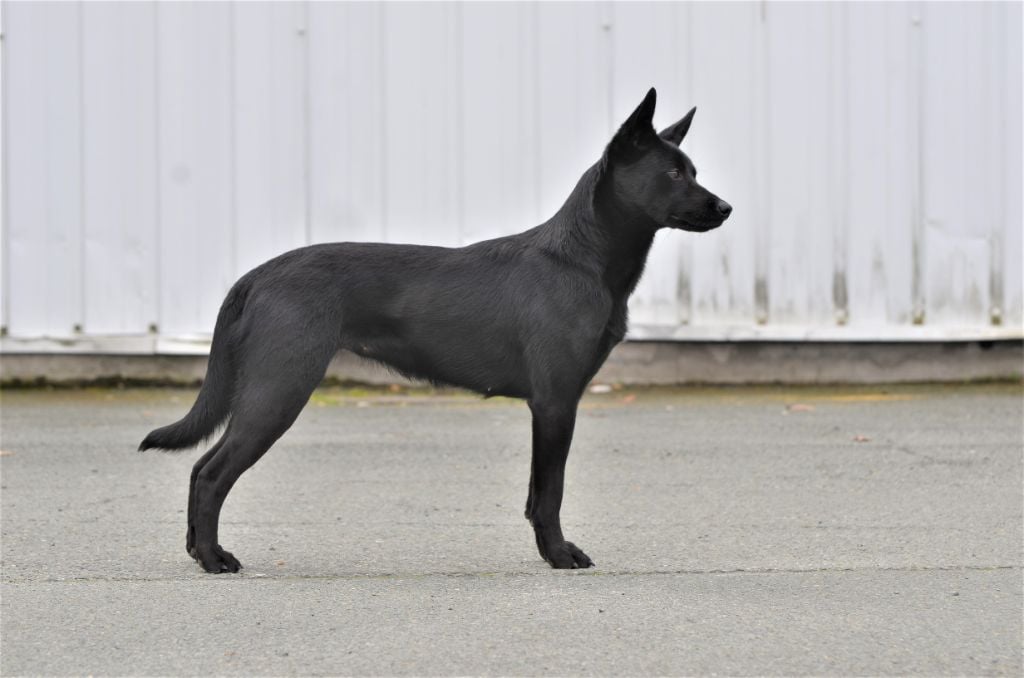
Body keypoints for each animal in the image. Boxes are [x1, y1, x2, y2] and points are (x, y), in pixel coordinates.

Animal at [140, 89, 733, 573]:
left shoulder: (549, 406)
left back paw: (198, 552)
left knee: (199, 468)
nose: (725, 207)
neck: (581, 259)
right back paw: (213, 559)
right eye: (674, 174)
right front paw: (561, 556)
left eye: (694, 169)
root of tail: (256, 276)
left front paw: (549, 553)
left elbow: (535, 494)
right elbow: (551, 492)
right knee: (212, 473)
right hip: (278, 390)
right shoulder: (556, 402)